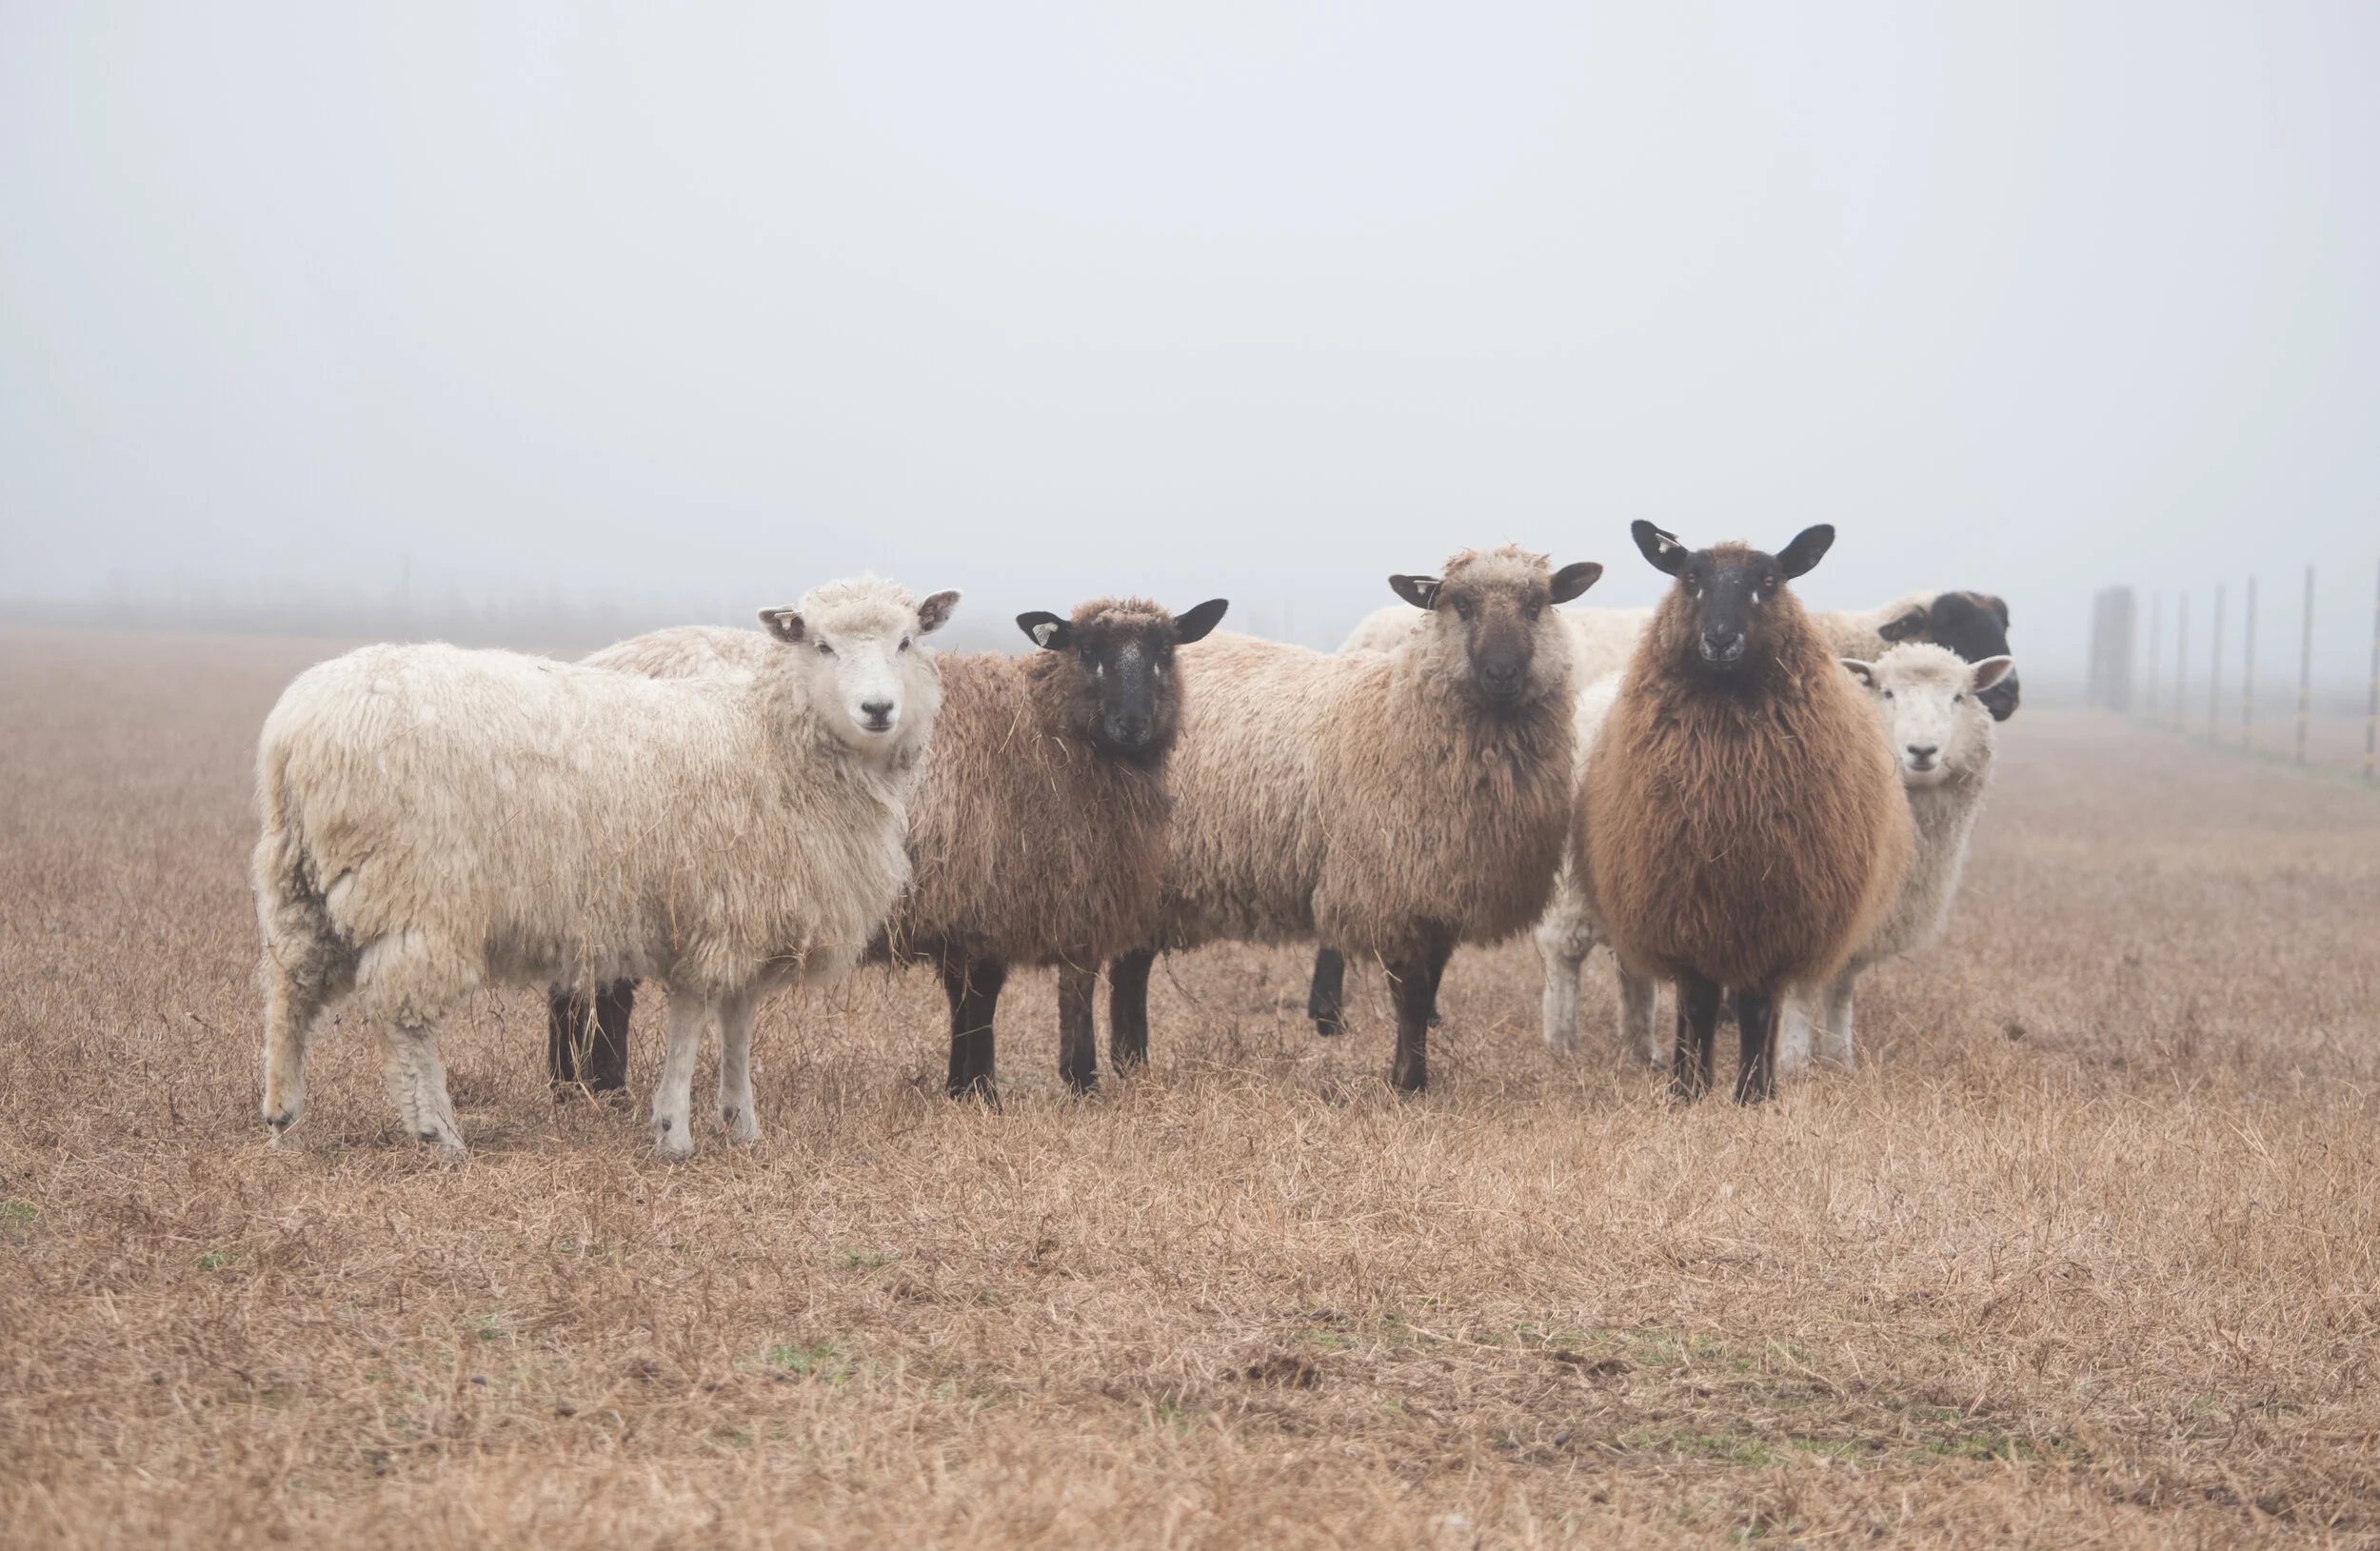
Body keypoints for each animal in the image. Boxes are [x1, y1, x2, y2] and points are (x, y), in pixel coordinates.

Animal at [253, 575, 955, 1156]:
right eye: (821, 645)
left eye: (906, 640)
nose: (878, 709)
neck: (770, 734)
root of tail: (296, 727)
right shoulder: (715, 908)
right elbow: (693, 1019)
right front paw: (674, 1129)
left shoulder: (748, 915)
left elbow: (737, 1023)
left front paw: (741, 1123)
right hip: (417, 890)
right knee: (405, 1018)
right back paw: (437, 1133)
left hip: (299, 878)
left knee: (291, 989)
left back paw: (283, 1117)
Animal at [547, 596, 1231, 1101]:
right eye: (1087, 651)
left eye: (1165, 651)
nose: (1131, 725)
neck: (1042, 727)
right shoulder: (999, 892)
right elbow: (990, 996)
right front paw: (1000, 1089)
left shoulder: (992, 896)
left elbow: (978, 997)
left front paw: (967, 1086)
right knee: (599, 986)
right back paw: (592, 1086)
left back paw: (581, 1084)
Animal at [1110, 544, 1602, 1091]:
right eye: (1462, 604)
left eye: (1536, 605)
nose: (1501, 674)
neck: (1396, 709)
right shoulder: (1393, 891)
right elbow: (1412, 994)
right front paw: (1407, 1082)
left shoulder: (1439, 893)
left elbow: (1429, 988)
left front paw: (1414, 1075)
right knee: (1126, 968)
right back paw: (1128, 1065)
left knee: (1132, 964)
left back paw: (1132, 1064)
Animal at [1580, 522, 1912, 1102]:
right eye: (1691, 577)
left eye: (1770, 580)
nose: (1720, 639)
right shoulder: (1683, 911)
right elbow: (1696, 1003)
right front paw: (1687, 1090)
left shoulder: (1775, 916)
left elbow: (1758, 1008)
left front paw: (1754, 1094)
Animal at [1774, 643, 2012, 1073]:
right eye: (1886, 693)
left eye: (1958, 696)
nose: (1922, 751)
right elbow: (1800, 989)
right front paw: (1793, 1063)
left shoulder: (1864, 917)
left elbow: (1841, 988)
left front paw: (1840, 1060)